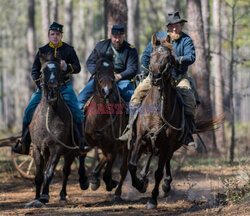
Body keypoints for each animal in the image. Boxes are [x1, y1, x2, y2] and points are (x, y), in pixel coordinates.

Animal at [26, 52, 88, 208]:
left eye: (60, 71)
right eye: (43, 71)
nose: (53, 90)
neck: (49, 116)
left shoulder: (57, 148)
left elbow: (49, 172)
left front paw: (44, 196)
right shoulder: (37, 148)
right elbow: (38, 175)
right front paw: (36, 198)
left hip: (71, 151)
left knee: (69, 169)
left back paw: (71, 190)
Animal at [80, 50, 129, 201]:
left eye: (112, 70)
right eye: (97, 70)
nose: (107, 91)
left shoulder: (113, 145)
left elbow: (108, 166)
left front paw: (105, 182)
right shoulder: (86, 141)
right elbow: (82, 155)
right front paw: (84, 181)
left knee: (123, 169)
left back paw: (117, 192)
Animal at [128, 35, 220, 209]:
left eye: (168, 58)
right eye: (151, 56)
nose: (155, 77)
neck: (157, 111)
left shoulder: (167, 144)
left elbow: (158, 172)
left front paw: (153, 199)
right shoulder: (140, 139)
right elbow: (132, 164)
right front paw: (140, 184)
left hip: (172, 145)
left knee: (166, 163)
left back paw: (166, 185)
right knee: (151, 155)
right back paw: (144, 176)